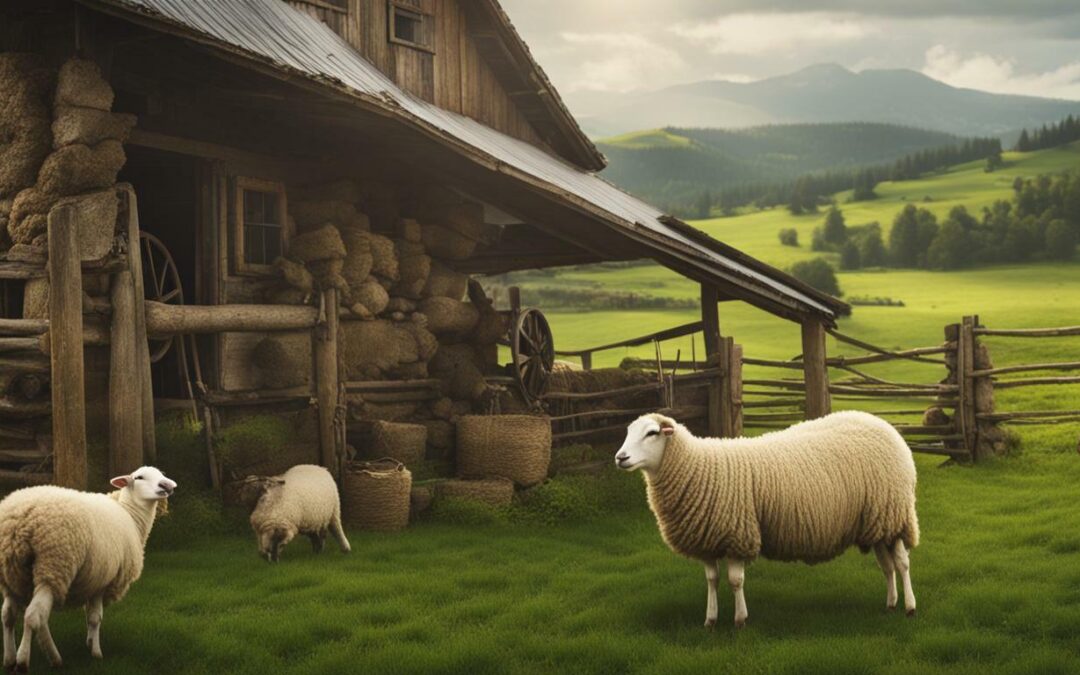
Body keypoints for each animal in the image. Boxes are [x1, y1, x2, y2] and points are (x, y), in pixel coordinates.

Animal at [0, 466, 176, 670]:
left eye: (162, 475)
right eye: (139, 477)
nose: (166, 486)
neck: (130, 514)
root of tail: (19, 517)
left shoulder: (94, 580)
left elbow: (88, 617)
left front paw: (90, 643)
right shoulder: (104, 581)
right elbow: (95, 617)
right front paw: (96, 653)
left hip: (12, 576)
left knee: (9, 615)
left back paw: (10, 659)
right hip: (54, 566)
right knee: (33, 616)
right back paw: (27, 660)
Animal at [615, 411, 919, 628]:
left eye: (652, 433)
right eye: (628, 432)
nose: (620, 457)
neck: (698, 466)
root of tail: (887, 426)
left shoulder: (738, 533)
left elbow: (735, 581)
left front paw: (740, 620)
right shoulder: (708, 540)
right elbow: (712, 580)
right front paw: (710, 620)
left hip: (895, 513)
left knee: (902, 563)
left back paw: (909, 607)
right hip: (877, 521)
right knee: (887, 565)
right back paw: (891, 603)